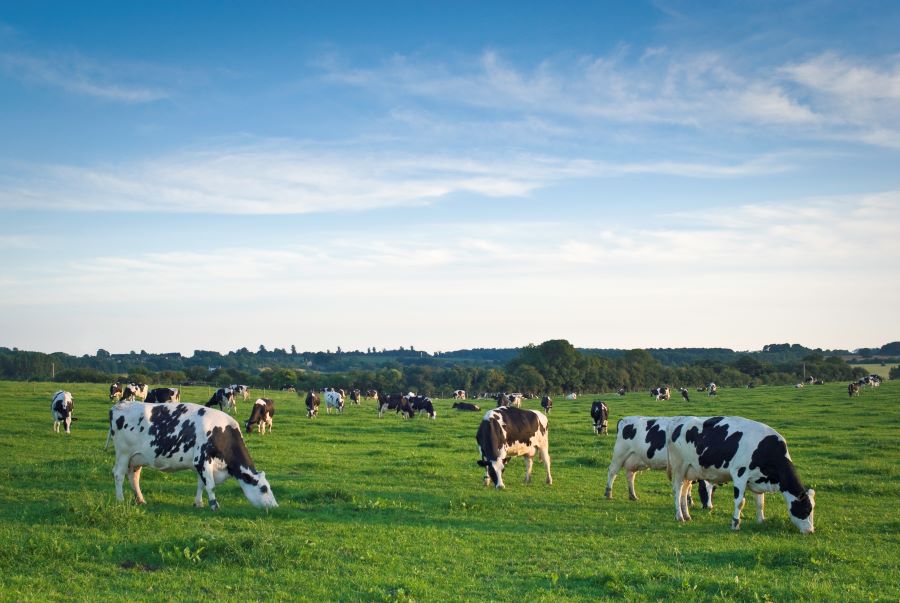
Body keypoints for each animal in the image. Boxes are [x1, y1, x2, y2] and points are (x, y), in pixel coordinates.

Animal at [106, 402, 274, 510]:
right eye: (264, 488)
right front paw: (214, 505)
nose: (275, 506)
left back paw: (140, 500)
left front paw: (198, 503)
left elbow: (201, 484)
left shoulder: (202, 465)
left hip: (137, 458)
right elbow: (210, 485)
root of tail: (118, 406)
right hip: (123, 454)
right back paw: (120, 499)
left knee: (133, 477)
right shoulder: (202, 460)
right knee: (118, 474)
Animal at [668, 416, 816, 532]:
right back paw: (679, 516)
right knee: (677, 491)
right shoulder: (740, 474)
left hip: (690, 471)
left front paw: (761, 521)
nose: (810, 531)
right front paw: (735, 524)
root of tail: (679, 422)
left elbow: (760, 502)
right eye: (806, 509)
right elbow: (740, 502)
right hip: (679, 467)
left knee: (684, 491)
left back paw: (687, 515)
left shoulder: (758, 479)